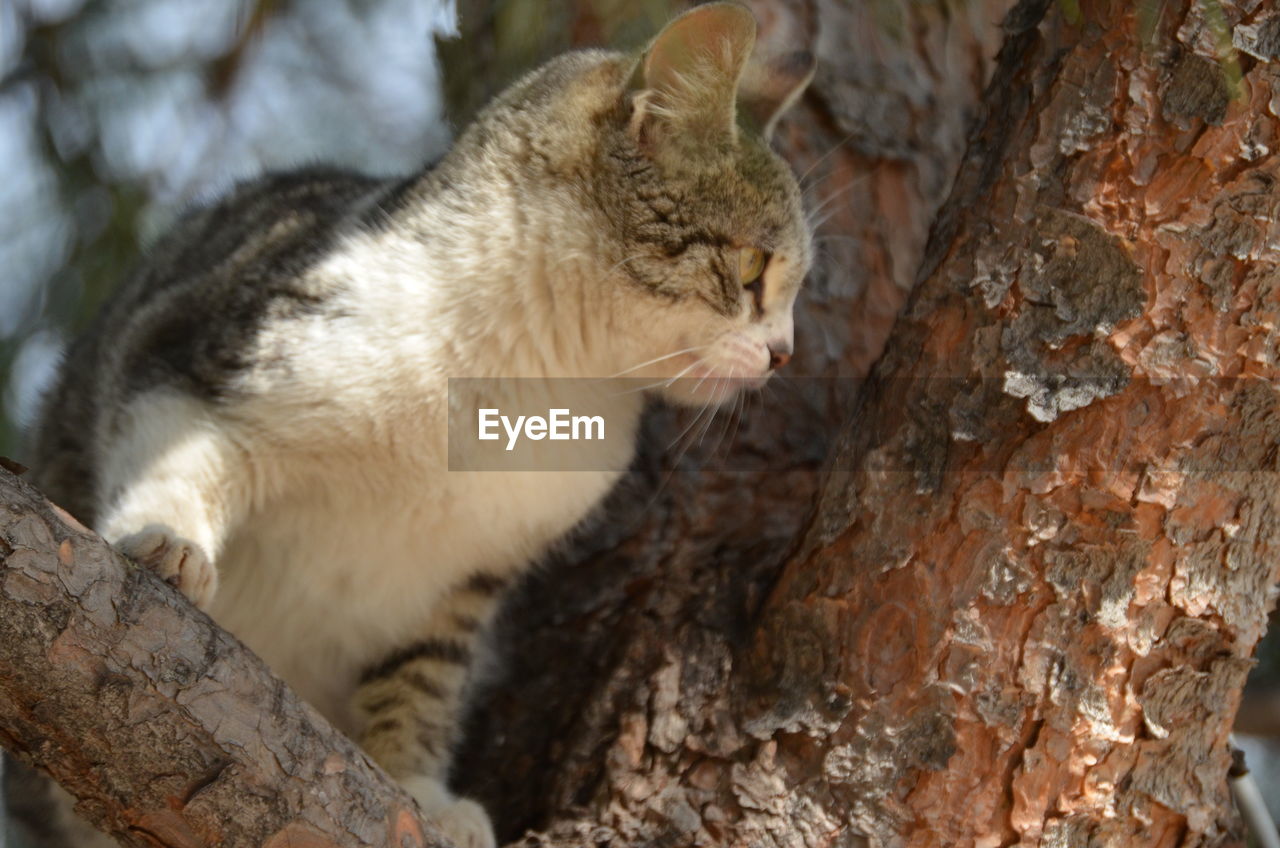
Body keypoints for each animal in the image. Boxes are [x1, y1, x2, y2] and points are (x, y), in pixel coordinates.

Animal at [22, 3, 808, 845]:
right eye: (754, 268)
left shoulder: (468, 577)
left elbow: (423, 680)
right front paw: (168, 539)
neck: (527, 377)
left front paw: (421, 793)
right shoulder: (186, 348)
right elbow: (177, 457)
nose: (785, 354)